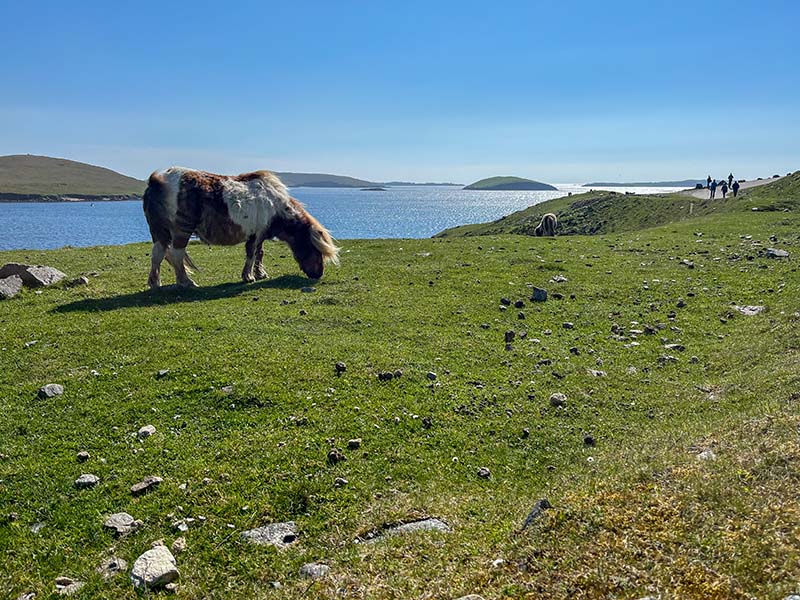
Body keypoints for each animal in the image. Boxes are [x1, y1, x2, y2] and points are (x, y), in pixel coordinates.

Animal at [143, 167, 339, 288]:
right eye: (315, 250)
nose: (318, 274)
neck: (275, 206)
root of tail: (157, 181)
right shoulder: (256, 235)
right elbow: (251, 254)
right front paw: (248, 276)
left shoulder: (260, 235)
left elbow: (259, 254)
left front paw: (260, 274)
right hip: (181, 230)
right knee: (176, 254)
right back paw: (186, 282)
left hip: (160, 232)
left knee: (158, 253)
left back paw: (156, 283)